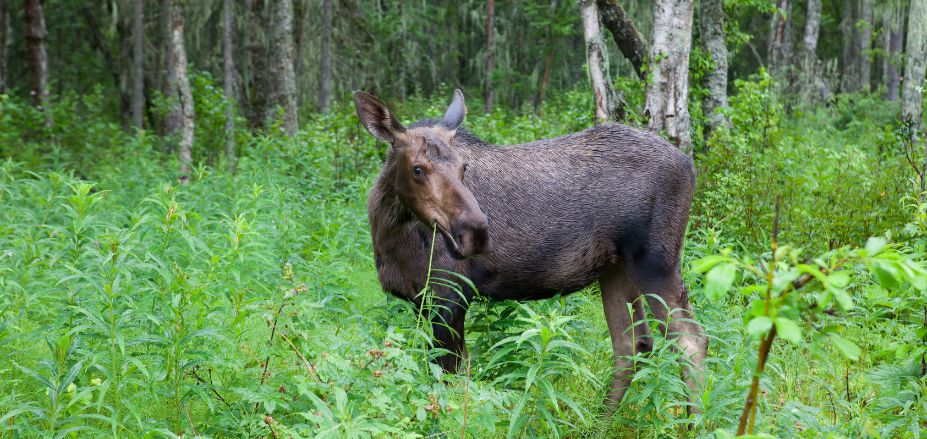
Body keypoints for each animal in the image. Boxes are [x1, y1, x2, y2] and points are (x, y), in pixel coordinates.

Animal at [358, 87, 708, 410]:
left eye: (463, 167)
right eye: (417, 168)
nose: (476, 232)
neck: (389, 235)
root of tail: (691, 166)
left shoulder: (451, 293)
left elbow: (449, 379)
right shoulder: (421, 299)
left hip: (655, 262)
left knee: (690, 341)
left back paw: (693, 422)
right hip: (615, 268)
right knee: (633, 345)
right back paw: (599, 424)